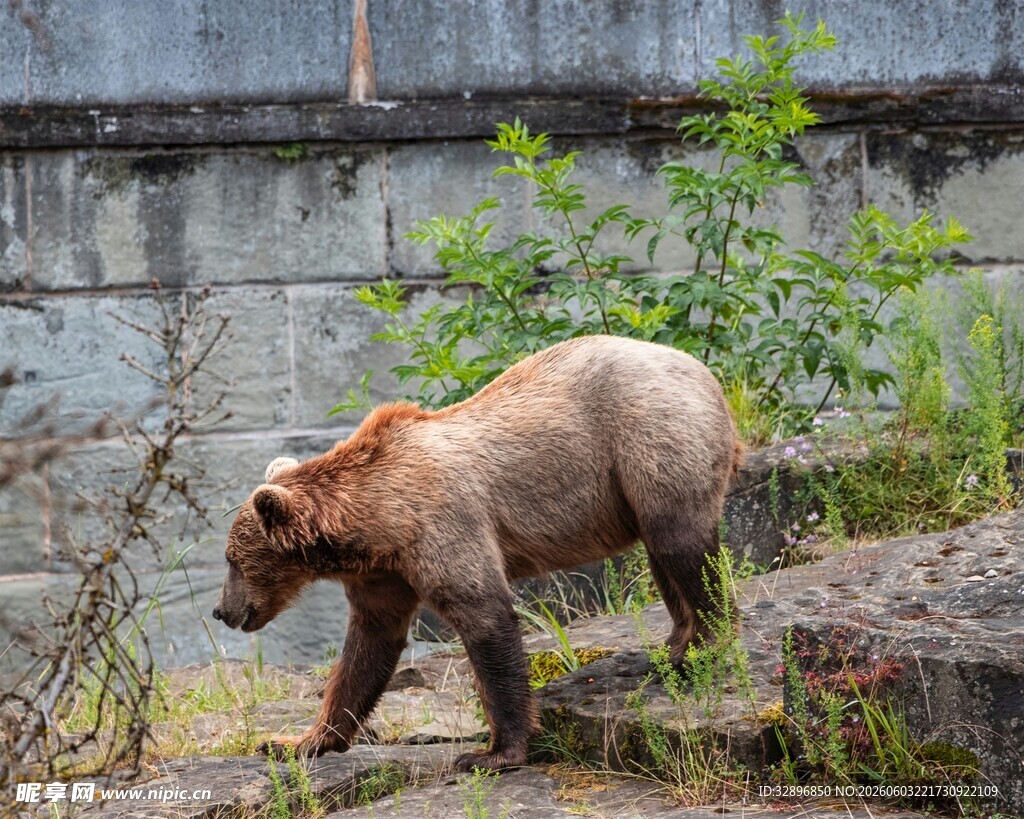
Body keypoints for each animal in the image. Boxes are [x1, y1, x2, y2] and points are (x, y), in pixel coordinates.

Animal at [213, 334, 742, 772]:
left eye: (232, 560)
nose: (222, 610)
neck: (377, 520)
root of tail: (706, 373)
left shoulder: (442, 526)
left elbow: (485, 619)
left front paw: (493, 752)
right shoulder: (386, 573)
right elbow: (367, 649)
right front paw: (296, 741)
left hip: (652, 440)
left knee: (682, 544)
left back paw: (708, 642)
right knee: (662, 555)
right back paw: (677, 644)